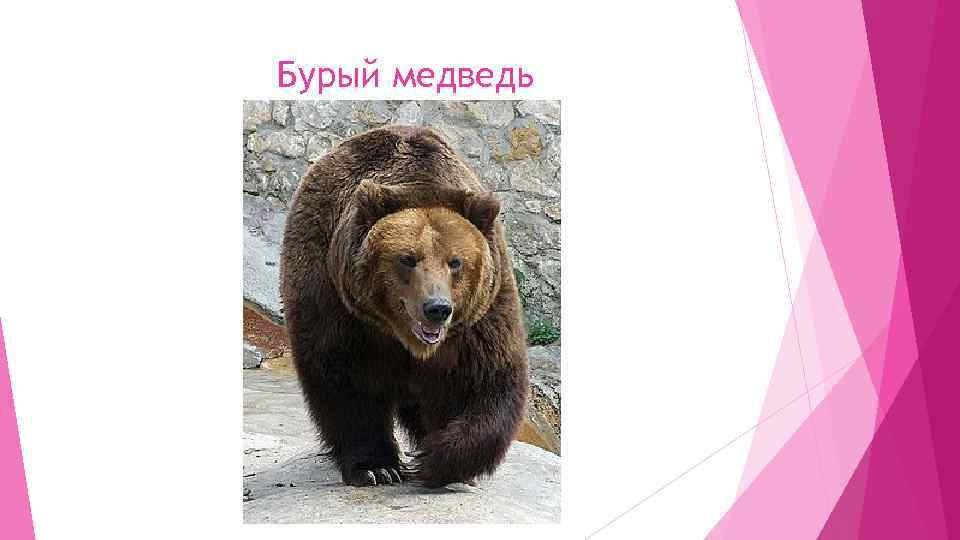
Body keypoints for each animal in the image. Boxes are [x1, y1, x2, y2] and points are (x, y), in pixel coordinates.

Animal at [280, 125, 529, 488]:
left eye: (455, 262)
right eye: (408, 259)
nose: (437, 308)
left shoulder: (480, 318)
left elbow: (486, 380)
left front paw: (437, 459)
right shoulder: (339, 306)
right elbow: (345, 379)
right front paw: (376, 467)